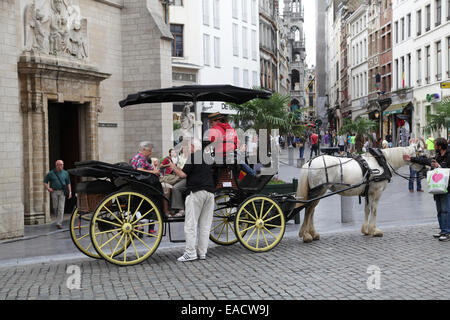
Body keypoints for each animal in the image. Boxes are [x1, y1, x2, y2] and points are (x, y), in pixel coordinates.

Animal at [296, 145, 426, 242]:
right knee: (309, 209)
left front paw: (366, 230)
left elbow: (367, 210)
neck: (381, 162)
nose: (425, 170)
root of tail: (310, 163)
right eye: (420, 154)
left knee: (311, 210)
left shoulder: (368, 192)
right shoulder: (377, 192)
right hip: (319, 190)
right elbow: (374, 210)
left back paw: (313, 233)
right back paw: (306, 235)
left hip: (317, 192)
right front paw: (374, 230)